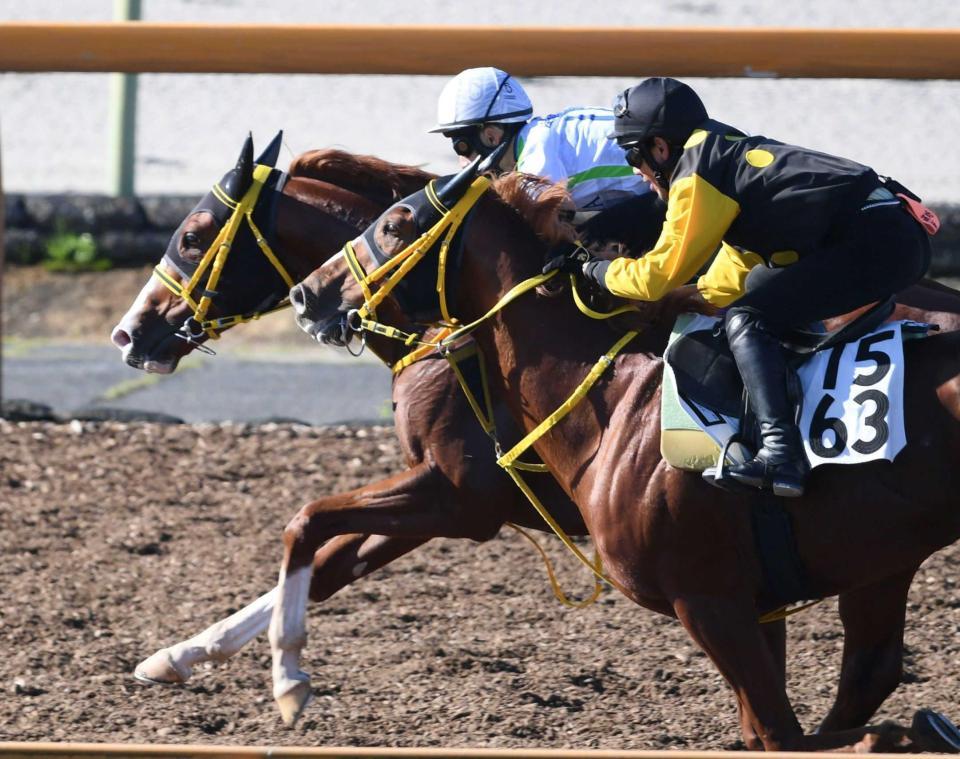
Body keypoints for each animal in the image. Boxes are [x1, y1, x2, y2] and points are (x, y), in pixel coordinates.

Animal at [288, 166, 960, 756]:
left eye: (395, 225)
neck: (614, 402)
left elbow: (778, 736)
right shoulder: (757, 602)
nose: (308, 293)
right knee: (871, 669)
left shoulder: (706, 599)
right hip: (883, 562)